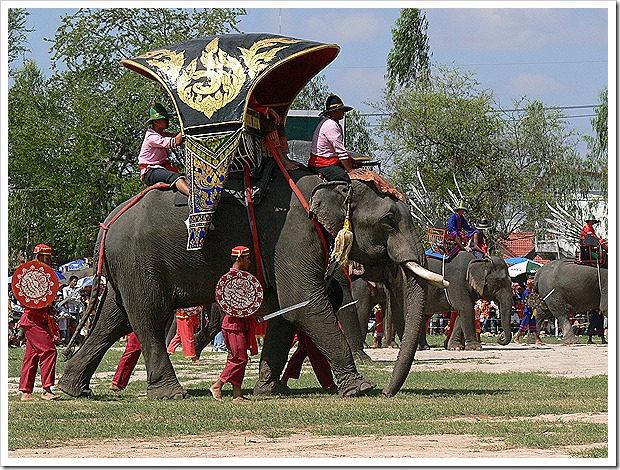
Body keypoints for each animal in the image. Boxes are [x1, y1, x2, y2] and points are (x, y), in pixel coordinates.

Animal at [58, 167, 444, 398]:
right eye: (389, 219)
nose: (389, 392)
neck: (333, 181)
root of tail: (109, 221)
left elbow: (286, 310)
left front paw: (269, 391)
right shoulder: (291, 232)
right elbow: (306, 303)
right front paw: (361, 388)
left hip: (126, 265)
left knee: (114, 317)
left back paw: (73, 389)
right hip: (139, 260)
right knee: (148, 317)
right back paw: (171, 393)